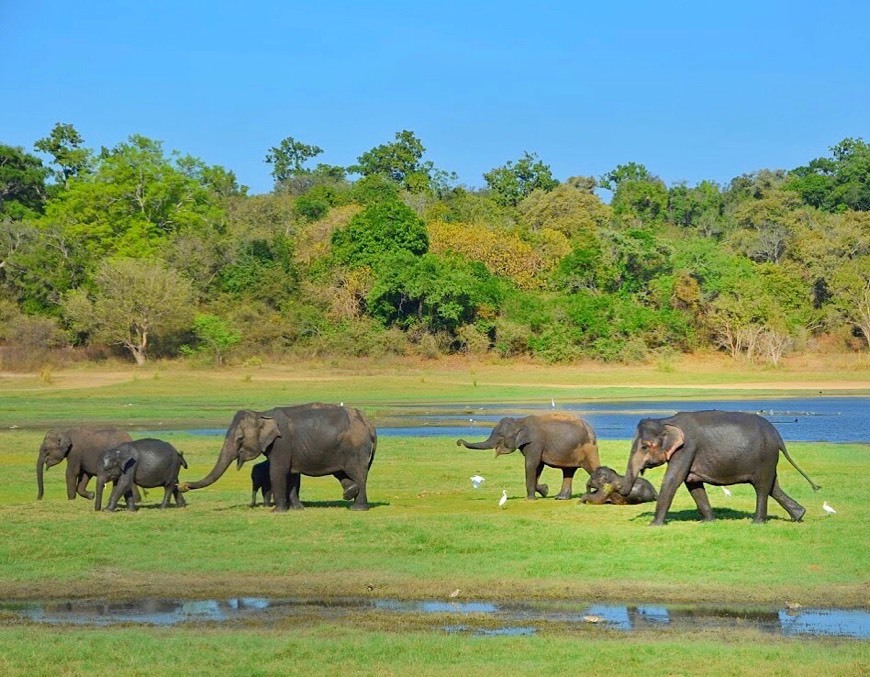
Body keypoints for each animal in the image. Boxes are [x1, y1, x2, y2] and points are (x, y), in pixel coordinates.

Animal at [182, 404, 376, 510]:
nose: (183, 485)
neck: (262, 414)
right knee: (345, 474)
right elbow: (292, 476)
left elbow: (277, 471)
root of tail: (370, 425)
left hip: (355, 449)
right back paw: (349, 493)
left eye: (240, 438)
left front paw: (278, 511)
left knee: (357, 474)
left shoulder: (281, 443)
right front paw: (298, 509)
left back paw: (358, 508)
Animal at [456, 410, 600, 500]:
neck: (520, 421)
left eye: (501, 436)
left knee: (591, 468)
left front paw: (531, 498)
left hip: (588, 449)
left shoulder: (535, 443)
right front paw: (545, 490)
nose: (458, 442)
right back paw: (560, 498)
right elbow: (538, 467)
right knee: (568, 471)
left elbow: (531, 464)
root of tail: (591, 430)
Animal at [624, 410, 820, 524]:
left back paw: (757, 522)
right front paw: (708, 522)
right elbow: (693, 483)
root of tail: (777, 436)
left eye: (644, 447)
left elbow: (674, 480)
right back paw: (799, 515)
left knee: (762, 487)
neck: (666, 420)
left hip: (765, 457)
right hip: (768, 460)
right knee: (773, 486)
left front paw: (654, 525)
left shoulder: (687, 448)